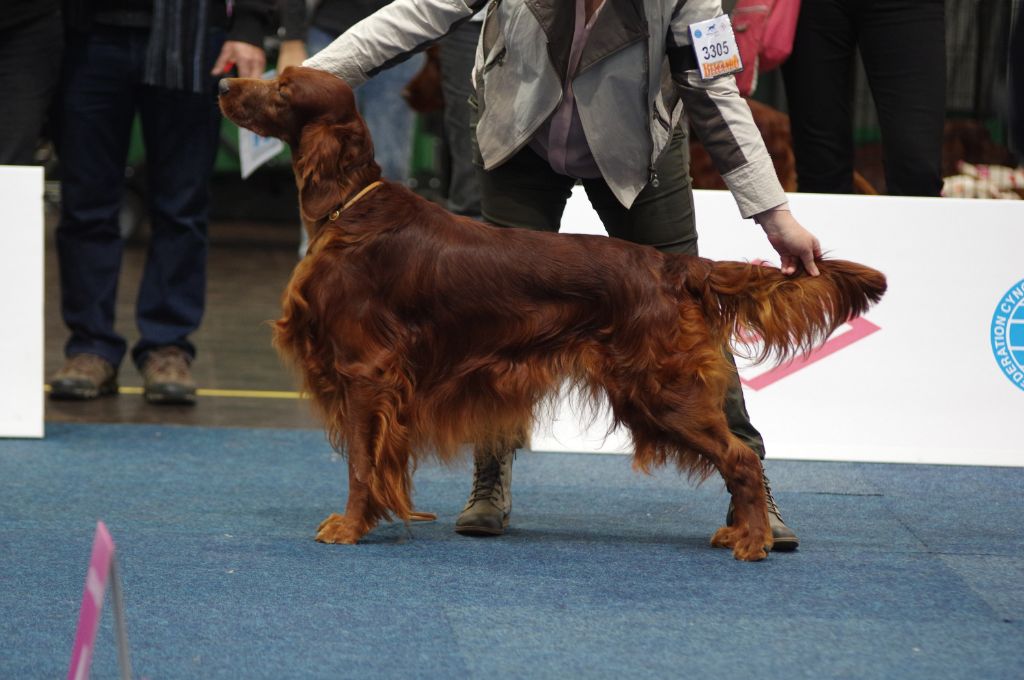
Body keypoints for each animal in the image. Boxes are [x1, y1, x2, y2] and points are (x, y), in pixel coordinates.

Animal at [220, 66, 884, 561]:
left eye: (284, 88)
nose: (223, 82)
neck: (350, 207)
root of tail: (668, 266)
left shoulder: (366, 372)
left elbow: (361, 462)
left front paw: (349, 527)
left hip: (659, 388)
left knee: (742, 456)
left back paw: (753, 539)